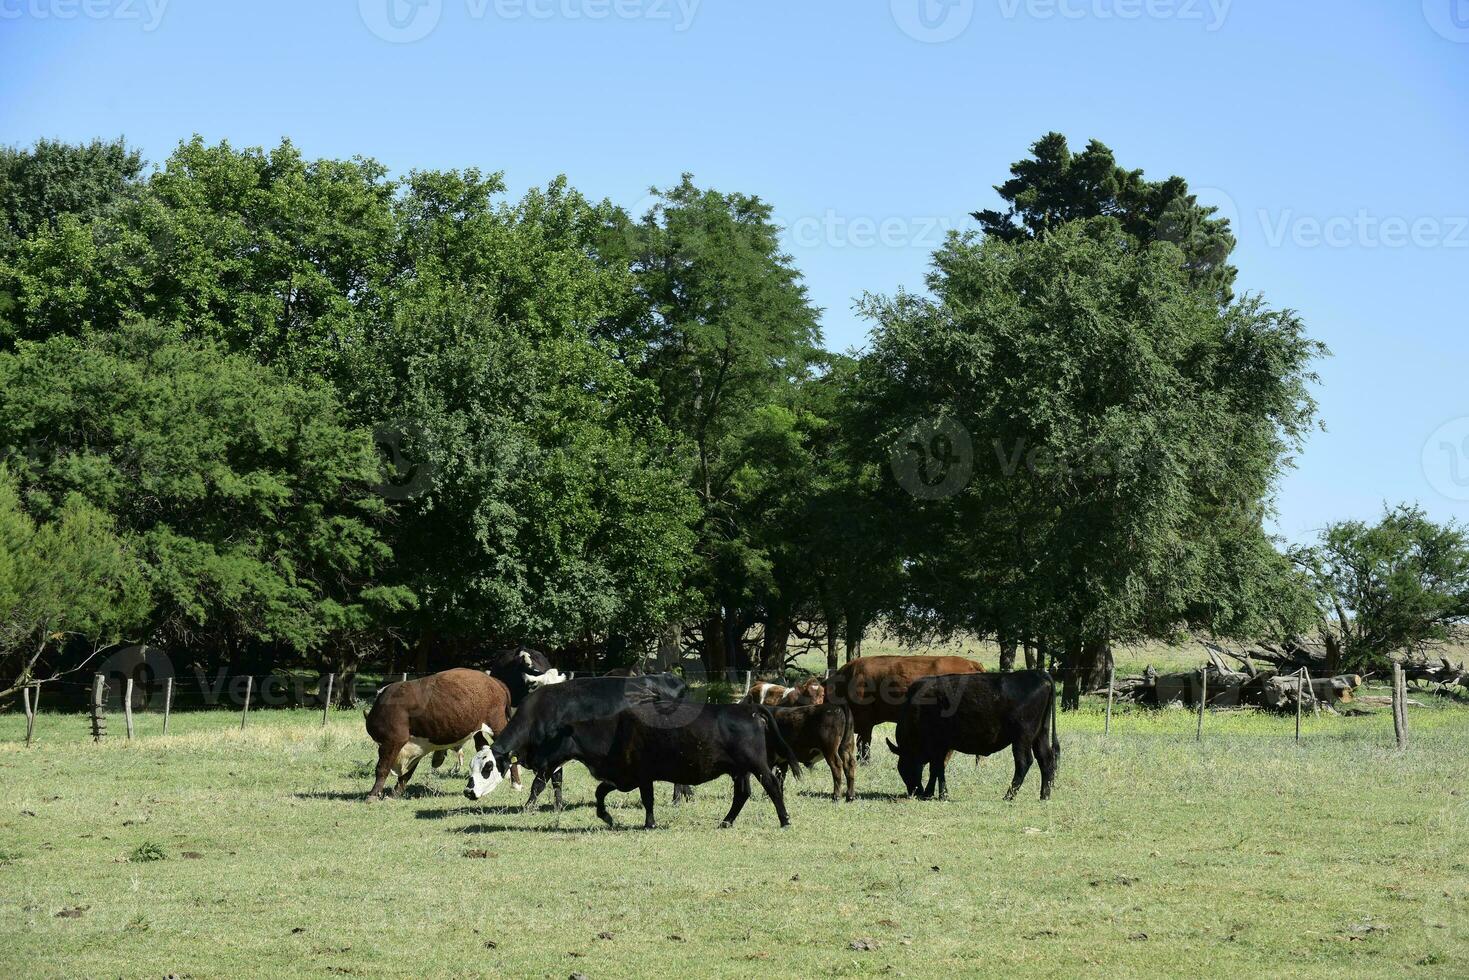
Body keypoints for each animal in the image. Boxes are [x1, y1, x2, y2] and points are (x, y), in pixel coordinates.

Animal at [364, 669, 525, 799]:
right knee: (481, 745)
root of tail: (495, 681)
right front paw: (395, 794)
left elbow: (382, 768)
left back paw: (516, 784)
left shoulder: (392, 741)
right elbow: (406, 775)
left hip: (496, 725)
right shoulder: (414, 747)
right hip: (476, 728)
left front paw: (373, 795)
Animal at [881, 669, 1057, 799]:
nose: (914, 792)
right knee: (1045, 759)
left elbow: (937, 768)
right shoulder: (942, 746)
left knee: (1024, 762)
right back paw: (1044, 796)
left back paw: (1009, 796)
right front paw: (933, 793)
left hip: (1022, 737)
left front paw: (938, 794)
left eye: (902, 767)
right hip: (1040, 733)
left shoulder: (938, 744)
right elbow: (936, 769)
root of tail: (1038, 674)